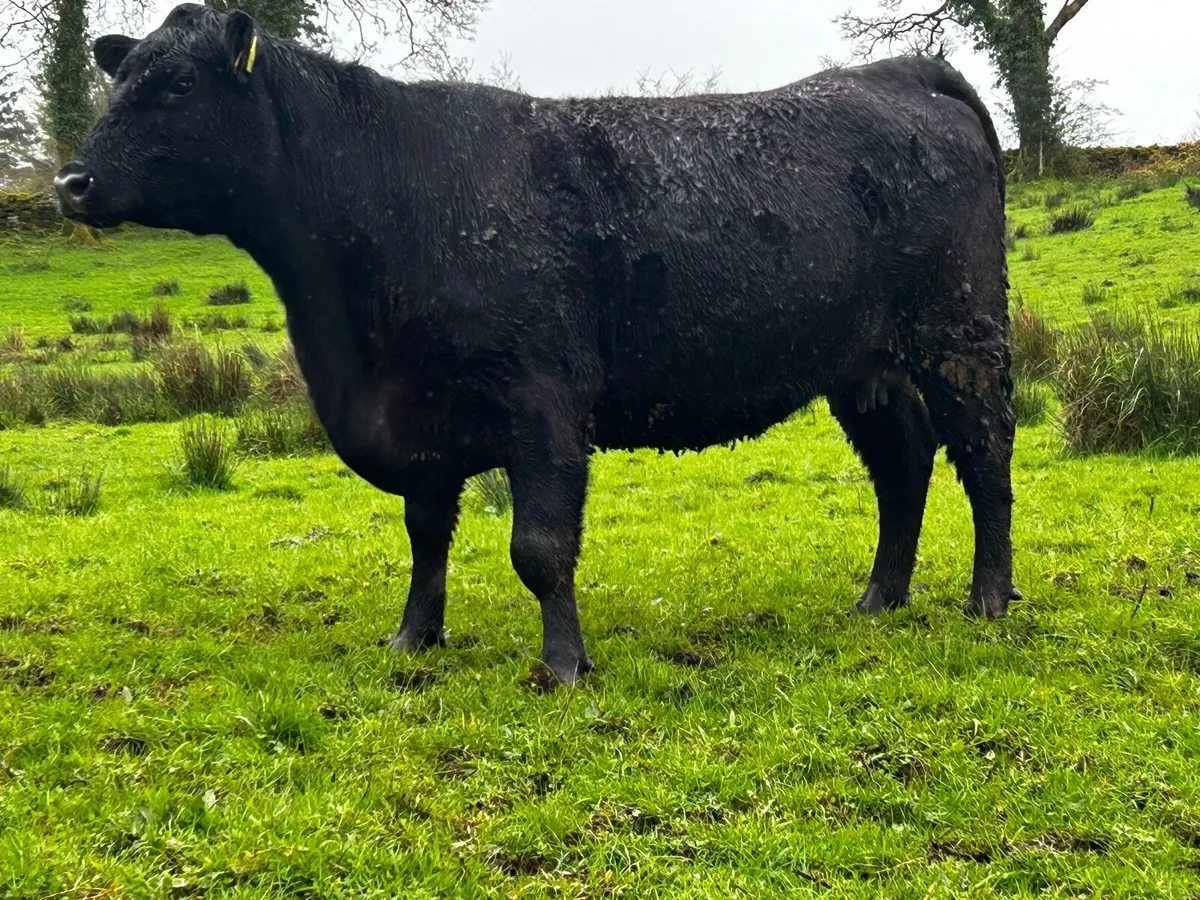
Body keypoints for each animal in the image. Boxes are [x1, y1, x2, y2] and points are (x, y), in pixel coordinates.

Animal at [56, 4, 1019, 685]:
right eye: (121, 76)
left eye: (179, 85)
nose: (71, 180)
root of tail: (897, 72)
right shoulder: (419, 412)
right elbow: (425, 535)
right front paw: (413, 639)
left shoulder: (544, 399)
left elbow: (540, 546)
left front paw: (562, 664)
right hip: (864, 364)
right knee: (904, 463)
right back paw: (877, 600)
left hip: (961, 333)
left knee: (984, 454)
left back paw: (987, 599)